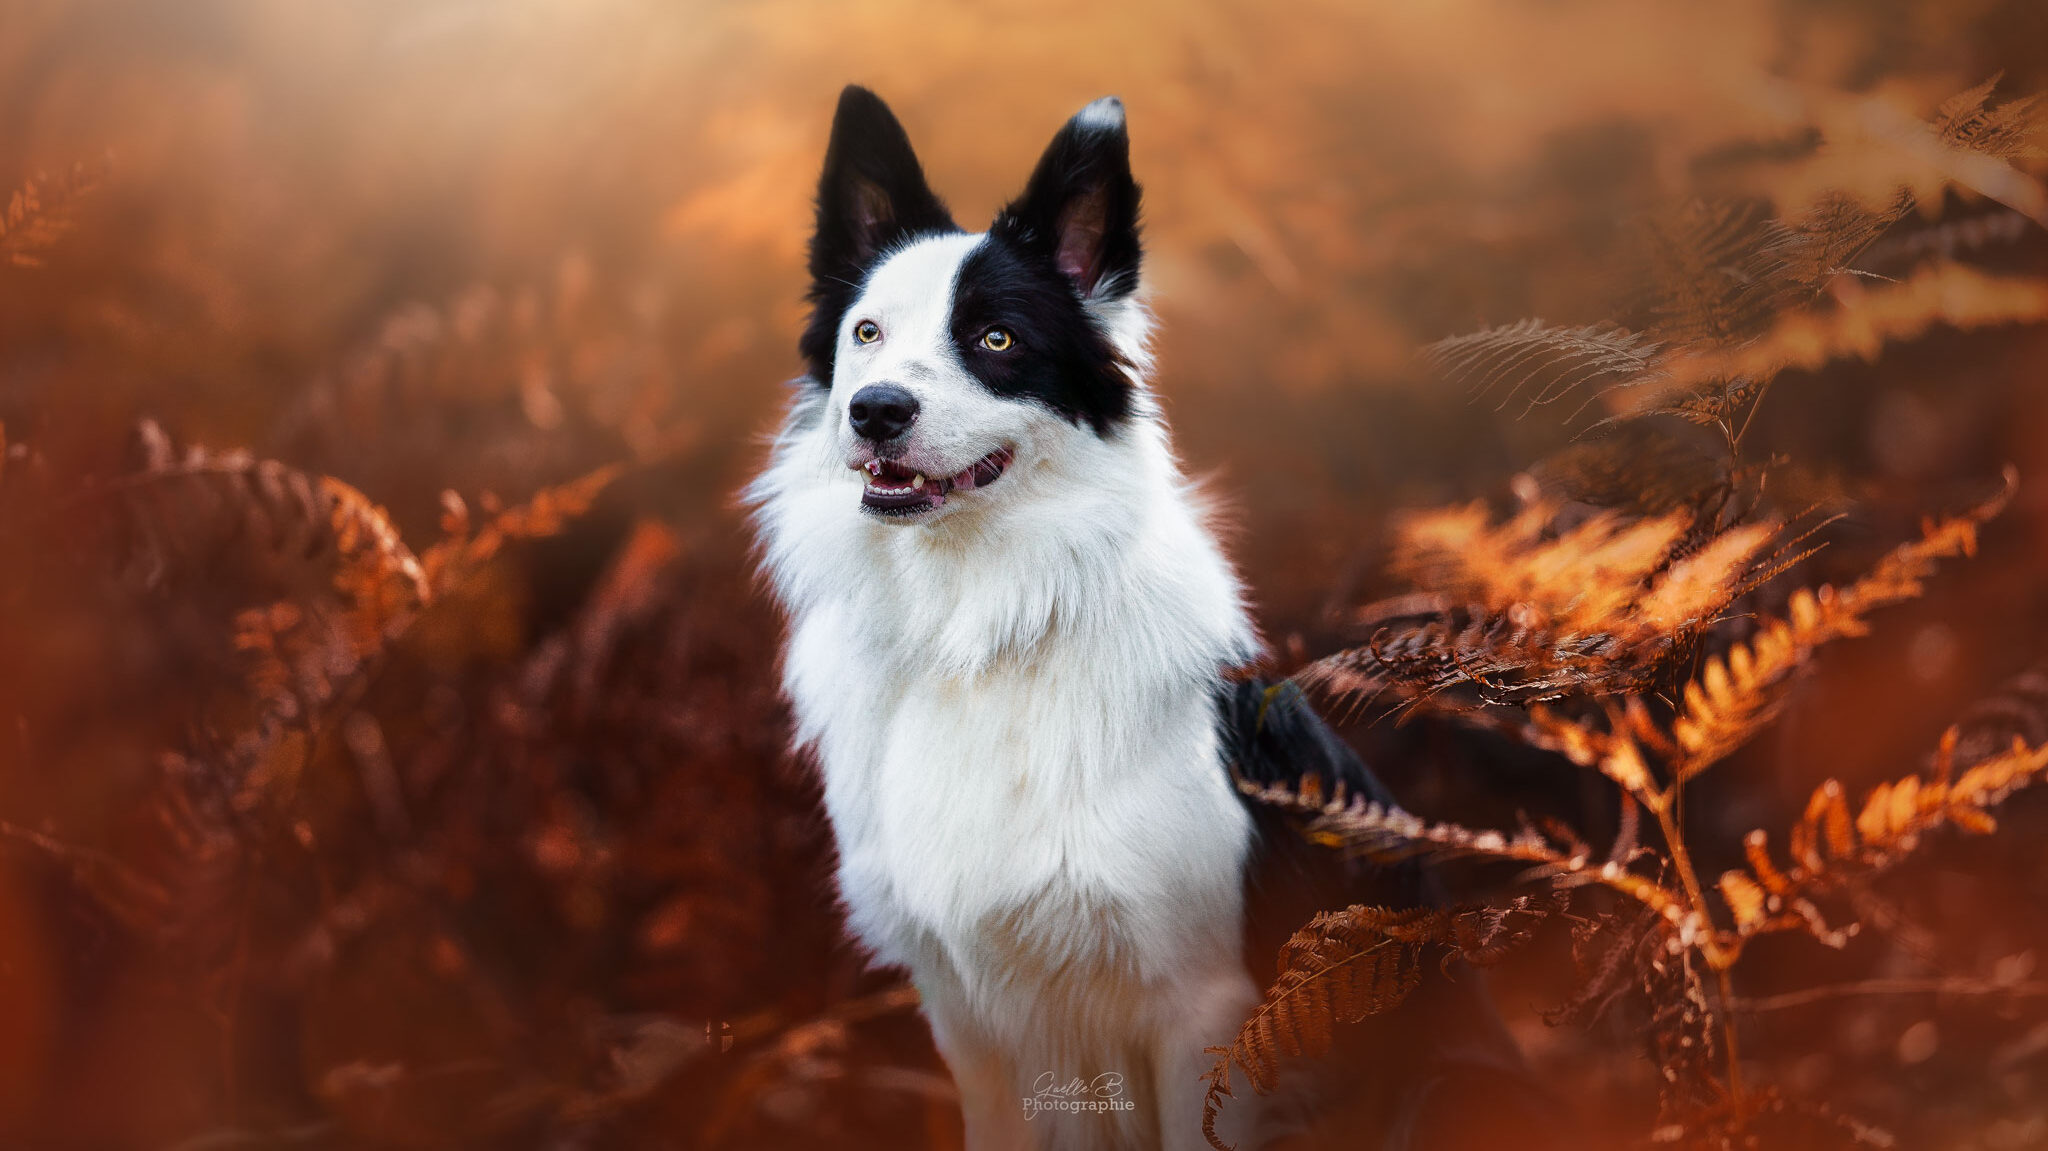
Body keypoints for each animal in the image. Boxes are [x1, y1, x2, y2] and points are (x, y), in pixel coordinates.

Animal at [749, 84, 1540, 1138]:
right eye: (866, 333)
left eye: (996, 340)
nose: (874, 410)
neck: (974, 623)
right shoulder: (970, 1023)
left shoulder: (1203, 1010)